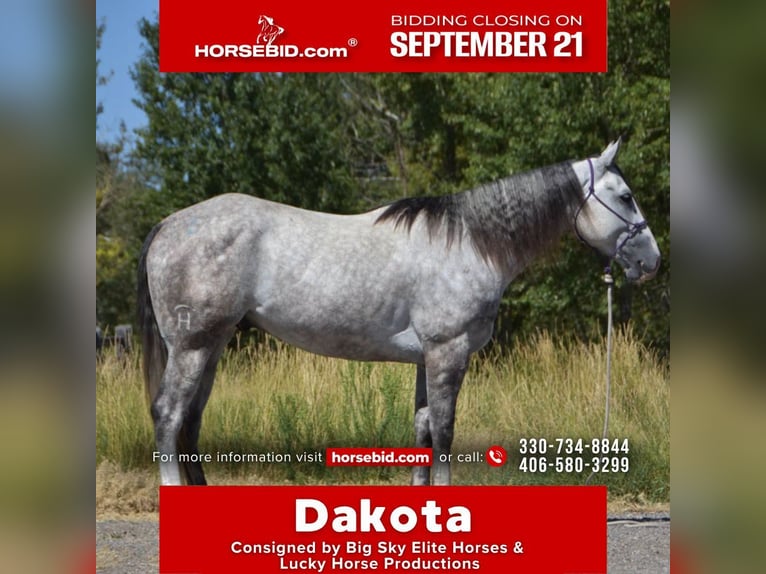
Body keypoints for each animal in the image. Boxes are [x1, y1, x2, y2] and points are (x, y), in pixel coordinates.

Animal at [138, 139, 660, 486]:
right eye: (626, 196)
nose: (651, 261)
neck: (470, 243)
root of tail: (169, 224)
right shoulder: (448, 353)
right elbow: (445, 432)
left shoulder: (427, 360)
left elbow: (423, 430)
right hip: (192, 346)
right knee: (168, 414)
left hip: (212, 345)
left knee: (191, 420)